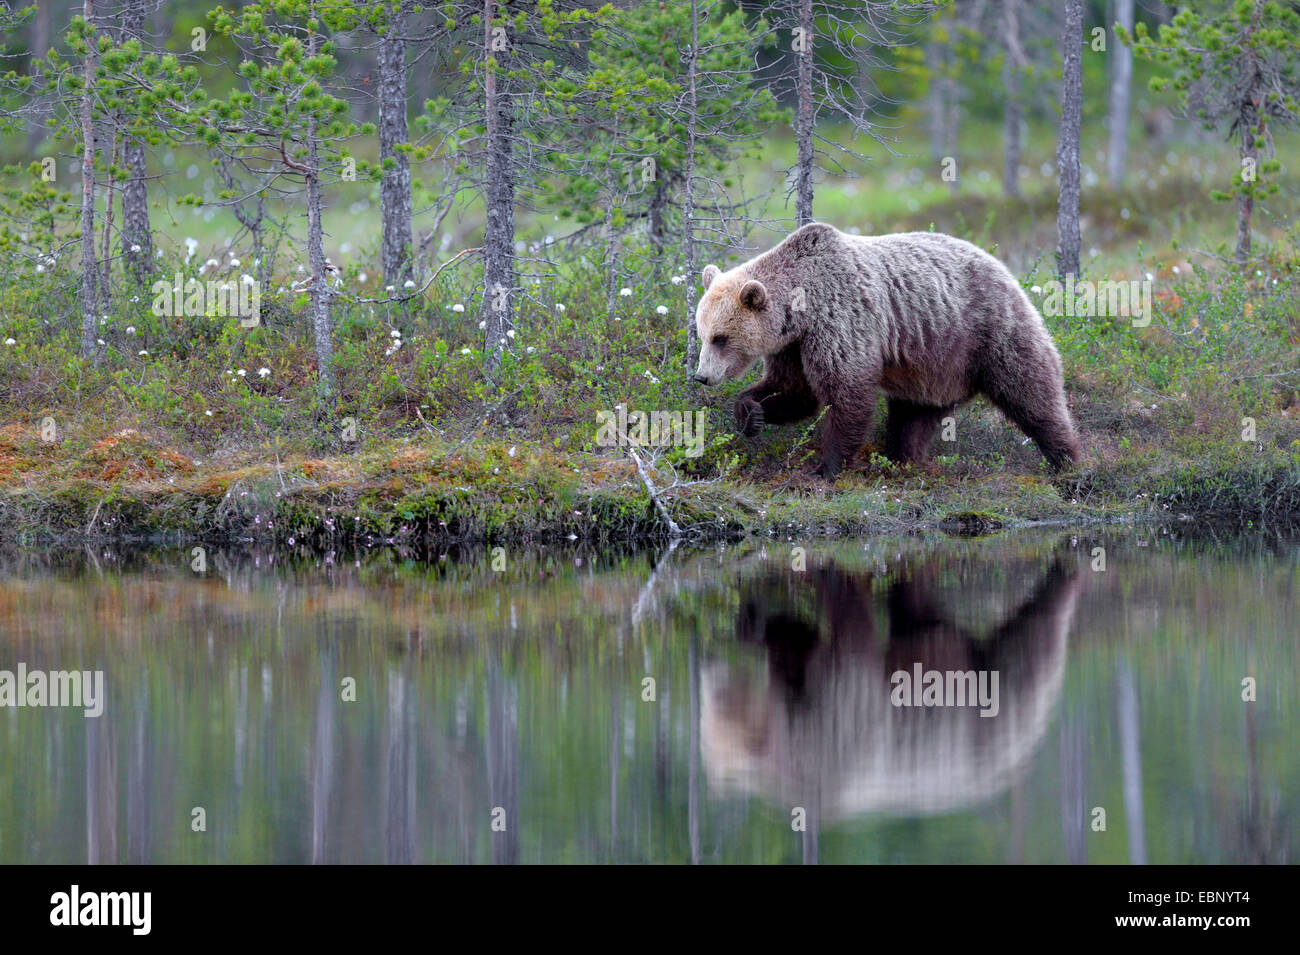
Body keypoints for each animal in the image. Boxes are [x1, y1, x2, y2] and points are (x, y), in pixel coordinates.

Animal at [696, 222, 1081, 478]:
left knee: (1030, 391)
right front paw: (751, 414)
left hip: (989, 332)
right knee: (914, 413)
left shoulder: (840, 321)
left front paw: (825, 467)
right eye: (701, 333)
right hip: (932, 362)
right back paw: (901, 458)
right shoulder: (793, 344)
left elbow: (846, 393)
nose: (701, 376)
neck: (802, 308)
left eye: (720, 338)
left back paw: (1068, 460)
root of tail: (1004, 267)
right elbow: (793, 390)